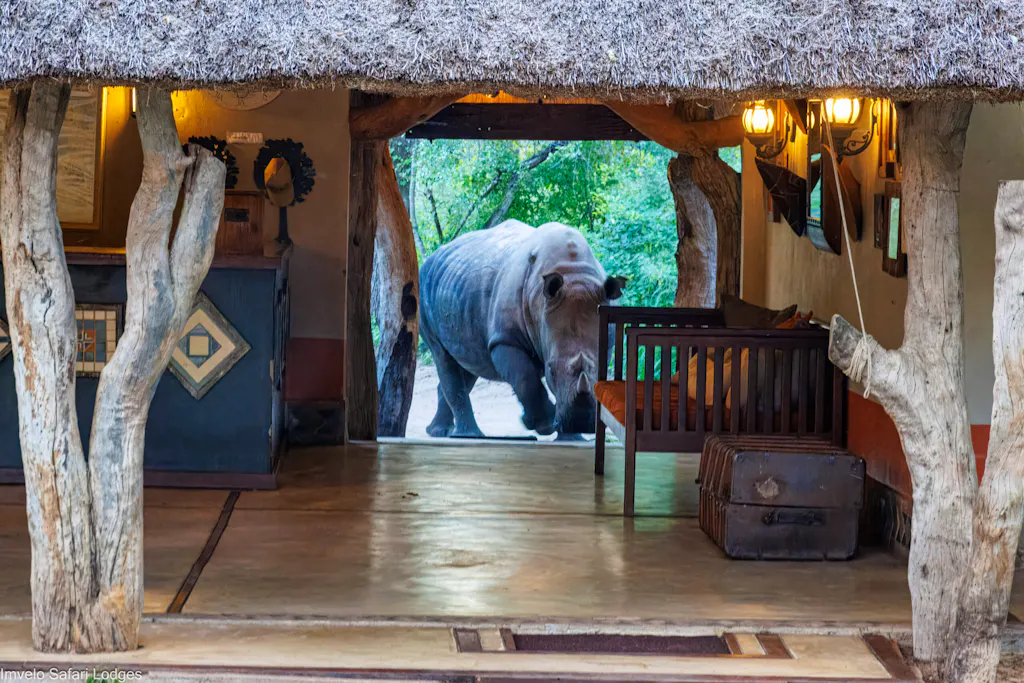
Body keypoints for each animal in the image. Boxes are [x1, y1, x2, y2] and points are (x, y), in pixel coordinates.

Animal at [419, 220, 625, 440]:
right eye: (550, 370)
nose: (581, 423)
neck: (573, 272)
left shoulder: (606, 338)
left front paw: (572, 438)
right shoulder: (505, 339)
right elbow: (526, 379)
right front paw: (543, 425)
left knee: (470, 361)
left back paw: (439, 432)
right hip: (423, 288)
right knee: (443, 356)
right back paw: (467, 435)